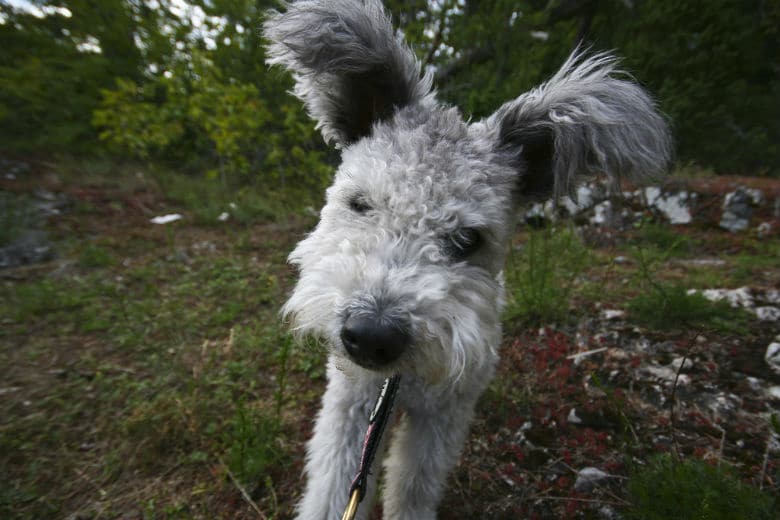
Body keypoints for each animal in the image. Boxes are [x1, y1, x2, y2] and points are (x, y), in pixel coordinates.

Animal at [264, 2, 672, 516]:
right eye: (360, 204)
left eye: (467, 238)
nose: (372, 337)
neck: (398, 384)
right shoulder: (352, 402)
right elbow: (335, 481)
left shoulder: (442, 416)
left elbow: (413, 485)